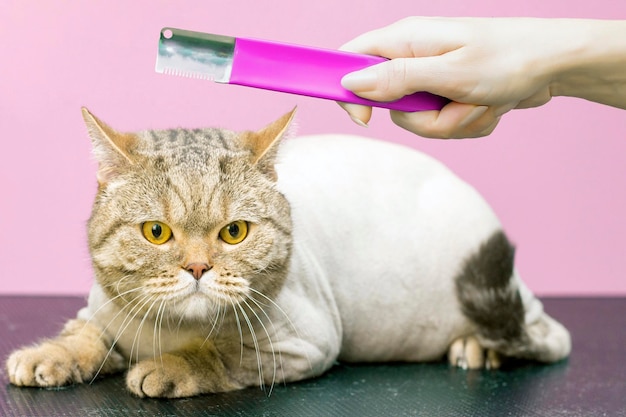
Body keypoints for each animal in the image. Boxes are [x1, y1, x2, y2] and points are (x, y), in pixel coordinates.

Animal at [6, 106, 572, 396]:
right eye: (157, 233)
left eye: (234, 232)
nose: (197, 267)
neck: (166, 330)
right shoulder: (101, 310)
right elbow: (85, 335)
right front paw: (50, 354)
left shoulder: (303, 344)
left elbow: (219, 354)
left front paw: (170, 367)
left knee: (545, 335)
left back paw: (480, 346)